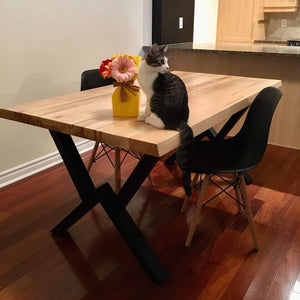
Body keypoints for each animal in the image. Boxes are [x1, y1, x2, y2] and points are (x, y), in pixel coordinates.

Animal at [138, 43, 193, 196]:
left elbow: (147, 107)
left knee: (162, 123)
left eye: (167, 61)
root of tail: (180, 120)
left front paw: (144, 116)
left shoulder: (150, 94)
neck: (148, 69)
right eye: (162, 61)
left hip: (157, 99)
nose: (168, 68)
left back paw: (149, 120)